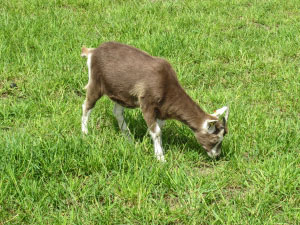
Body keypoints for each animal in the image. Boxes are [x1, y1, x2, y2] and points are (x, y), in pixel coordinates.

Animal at [81, 41, 229, 162]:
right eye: (215, 139)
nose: (216, 156)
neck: (167, 86)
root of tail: (92, 51)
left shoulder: (162, 110)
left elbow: (158, 128)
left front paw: (151, 144)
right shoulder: (147, 104)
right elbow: (157, 131)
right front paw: (160, 158)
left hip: (120, 94)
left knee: (117, 112)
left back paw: (128, 139)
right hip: (96, 82)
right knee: (87, 105)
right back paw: (85, 133)